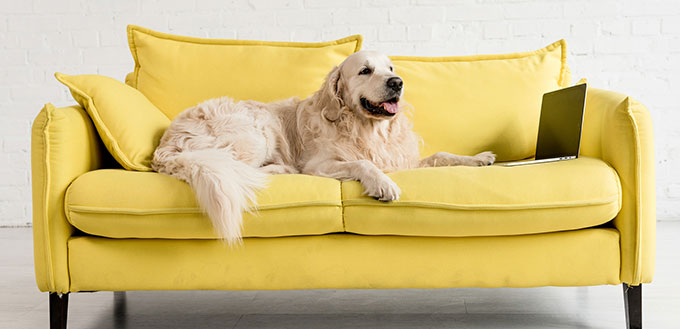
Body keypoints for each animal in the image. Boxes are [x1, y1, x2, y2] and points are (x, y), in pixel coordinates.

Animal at [153, 50, 494, 243]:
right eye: (365, 70)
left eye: (391, 68)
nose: (397, 83)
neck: (365, 128)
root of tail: (166, 145)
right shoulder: (320, 165)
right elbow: (362, 163)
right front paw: (383, 184)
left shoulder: (402, 160)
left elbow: (441, 155)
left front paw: (479, 158)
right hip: (255, 130)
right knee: (236, 168)